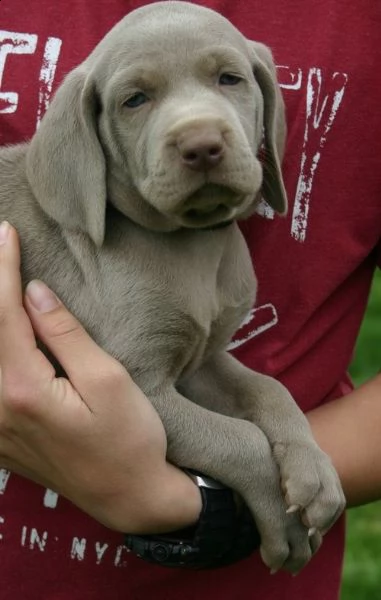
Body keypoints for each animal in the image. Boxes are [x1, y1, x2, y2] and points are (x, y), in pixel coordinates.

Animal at [0, 0, 344, 572]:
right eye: (135, 100)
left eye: (229, 79)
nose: (201, 145)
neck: (190, 248)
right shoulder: (139, 383)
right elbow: (239, 439)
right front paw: (282, 525)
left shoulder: (199, 359)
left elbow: (267, 389)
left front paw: (314, 472)